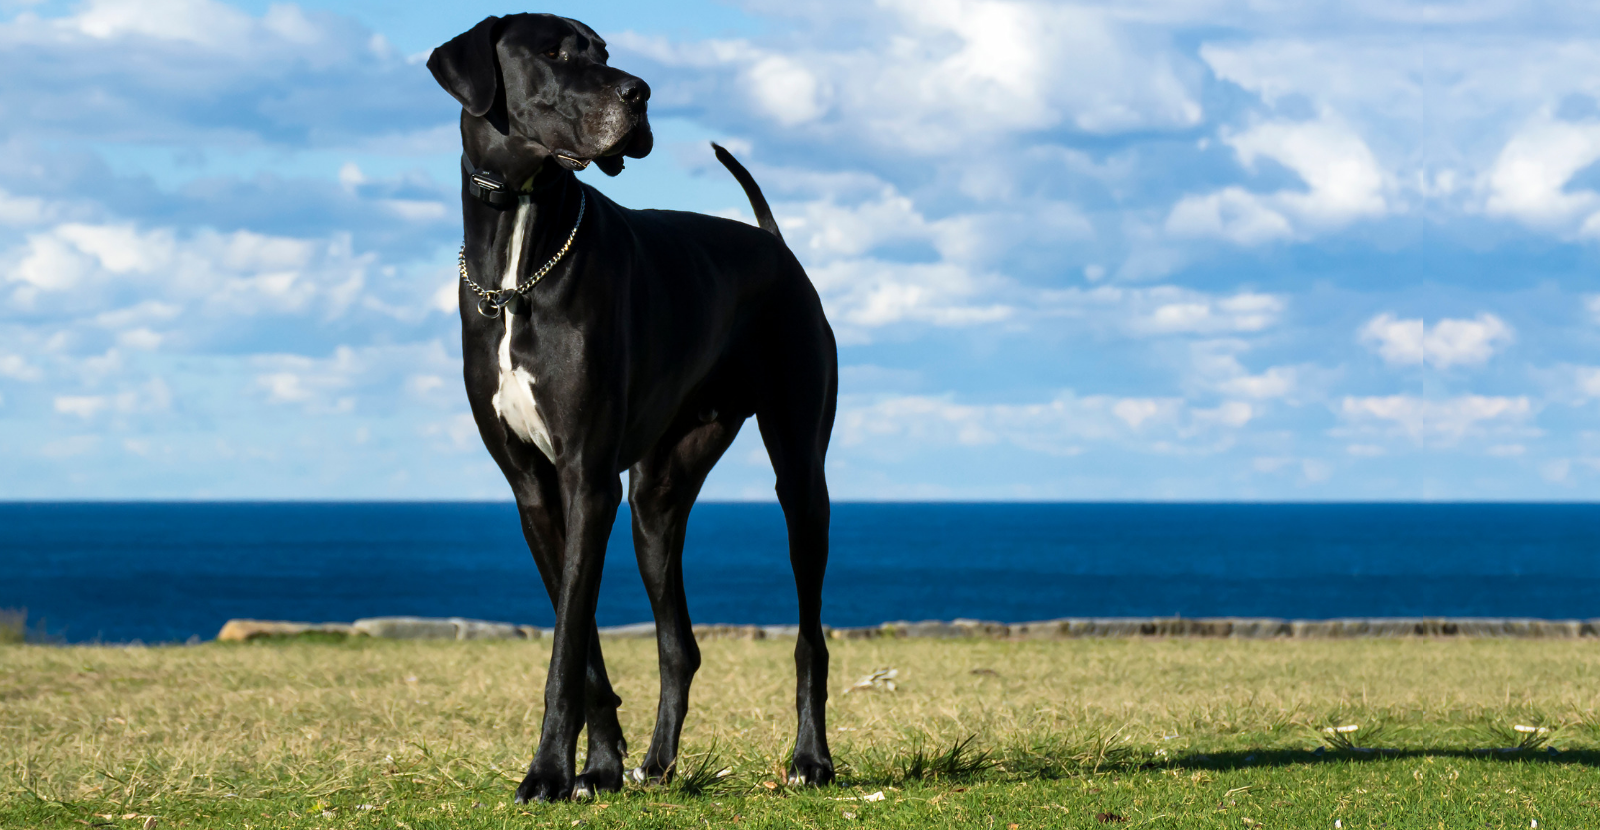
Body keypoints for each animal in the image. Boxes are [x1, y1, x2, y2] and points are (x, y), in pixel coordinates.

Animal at [432, 14, 844, 806]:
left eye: (605, 51)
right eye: (555, 53)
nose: (640, 92)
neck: (519, 255)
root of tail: (774, 244)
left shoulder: (586, 479)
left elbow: (566, 647)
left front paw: (548, 772)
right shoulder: (539, 490)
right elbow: (581, 640)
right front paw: (597, 767)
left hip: (801, 477)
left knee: (811, 636)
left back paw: (811, 759)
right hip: (655, 500)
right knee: (679, 645)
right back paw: (657, 765)